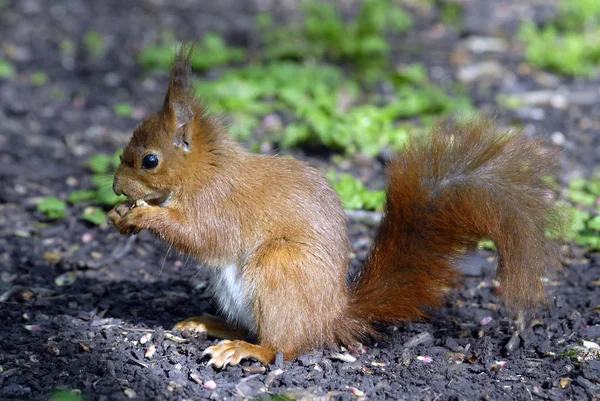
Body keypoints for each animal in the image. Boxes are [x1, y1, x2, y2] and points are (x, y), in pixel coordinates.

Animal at [108, 45, 564, 368]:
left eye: (150, 160)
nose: (115, 189)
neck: (205, 170)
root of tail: (331, 317)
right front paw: (118, 217)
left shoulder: (218, 204)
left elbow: (201, 236)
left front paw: (143, 214)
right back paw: (209, 323)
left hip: (280, 269)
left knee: (283, 347)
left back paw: (242, 349)